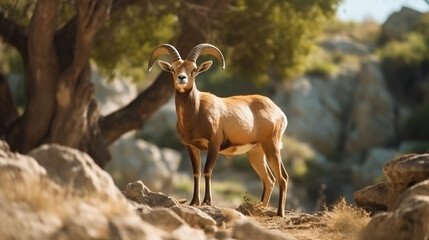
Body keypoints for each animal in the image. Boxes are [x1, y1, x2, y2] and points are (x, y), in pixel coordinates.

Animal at [148, 43, 288, 218]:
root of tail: (279, 112)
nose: (182, 78)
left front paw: (207, 201)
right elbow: (196, 172)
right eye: (173, 69)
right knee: (269, 179)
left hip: (271, 146)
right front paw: (194, 202)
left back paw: (280, 213)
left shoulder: (214, 145)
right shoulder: (191, 146)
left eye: (193, 69)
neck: (196, 112)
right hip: (256, 152)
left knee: (282, 177)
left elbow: (207, 170)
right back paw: (261, 208)